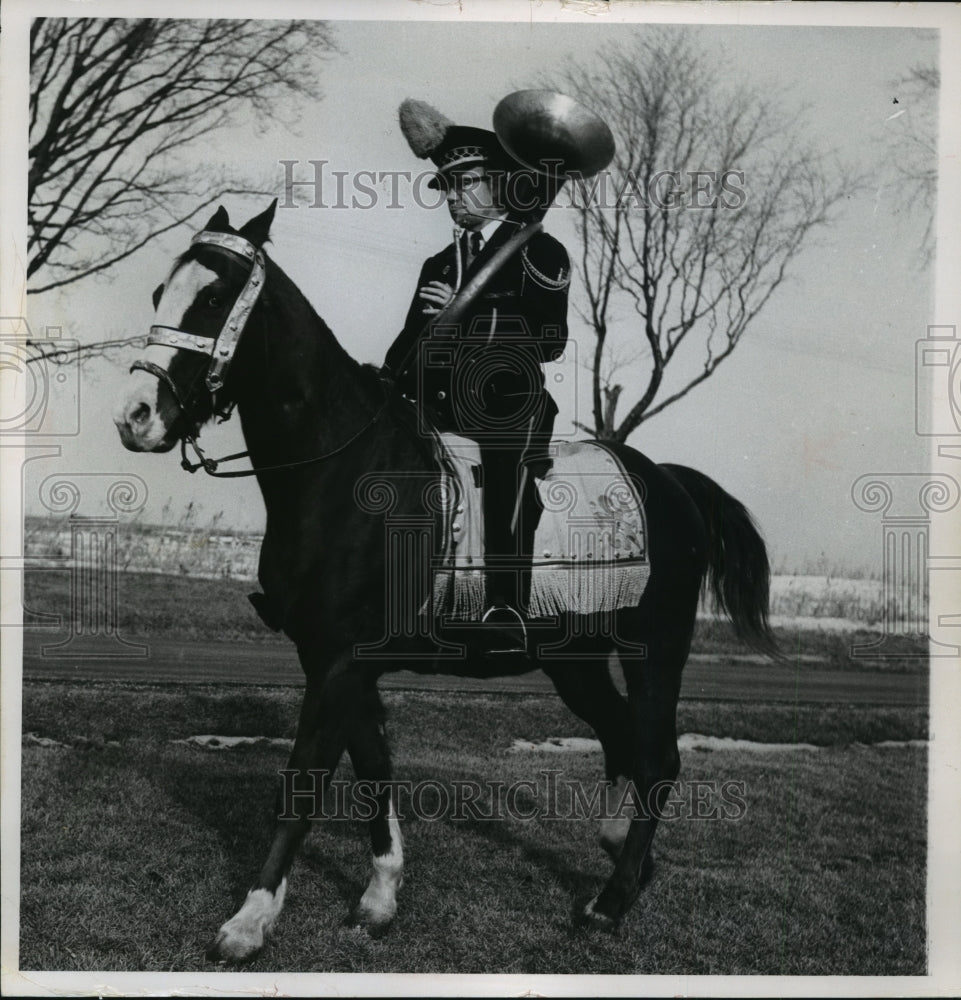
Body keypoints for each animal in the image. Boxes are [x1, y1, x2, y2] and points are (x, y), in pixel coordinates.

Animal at [112, 201, 776, 960]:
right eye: (160, 293)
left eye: (214, 298)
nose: (135, 417)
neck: (343, 469)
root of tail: (669, 480)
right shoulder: (333, 657)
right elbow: (372, 768)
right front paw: (379, 896)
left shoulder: (339, 660)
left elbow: (306, 778)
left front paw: (250, 919)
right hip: (573, 660)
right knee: (623, 740)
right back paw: (619, 856)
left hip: (655, 648)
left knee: (658, 754)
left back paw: (610, 901)